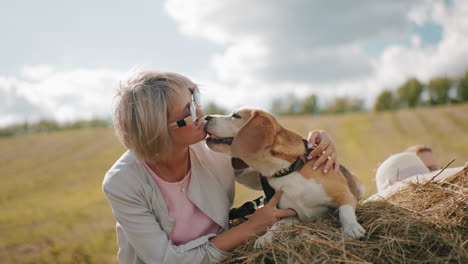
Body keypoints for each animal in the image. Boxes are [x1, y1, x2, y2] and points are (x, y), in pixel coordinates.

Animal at [205, 107, 366, 245]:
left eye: (236, 116)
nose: (206, 117)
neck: (286, 170)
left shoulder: (344, 194)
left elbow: (345, 211)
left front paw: (352, 228)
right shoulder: (291, 214)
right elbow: (277, 225)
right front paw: (265, 237)